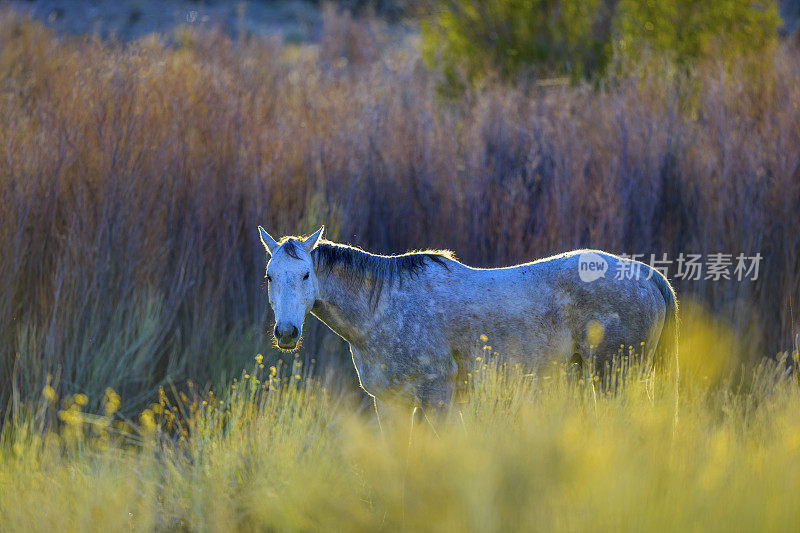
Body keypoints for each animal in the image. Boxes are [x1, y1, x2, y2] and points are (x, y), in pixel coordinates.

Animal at [260, 227, 680, 414]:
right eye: (269, 277)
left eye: (306, 275)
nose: (287, 333)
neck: (382, 308)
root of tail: (648, 275)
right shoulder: (391, 401)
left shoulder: (436, 394)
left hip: (613, 376)